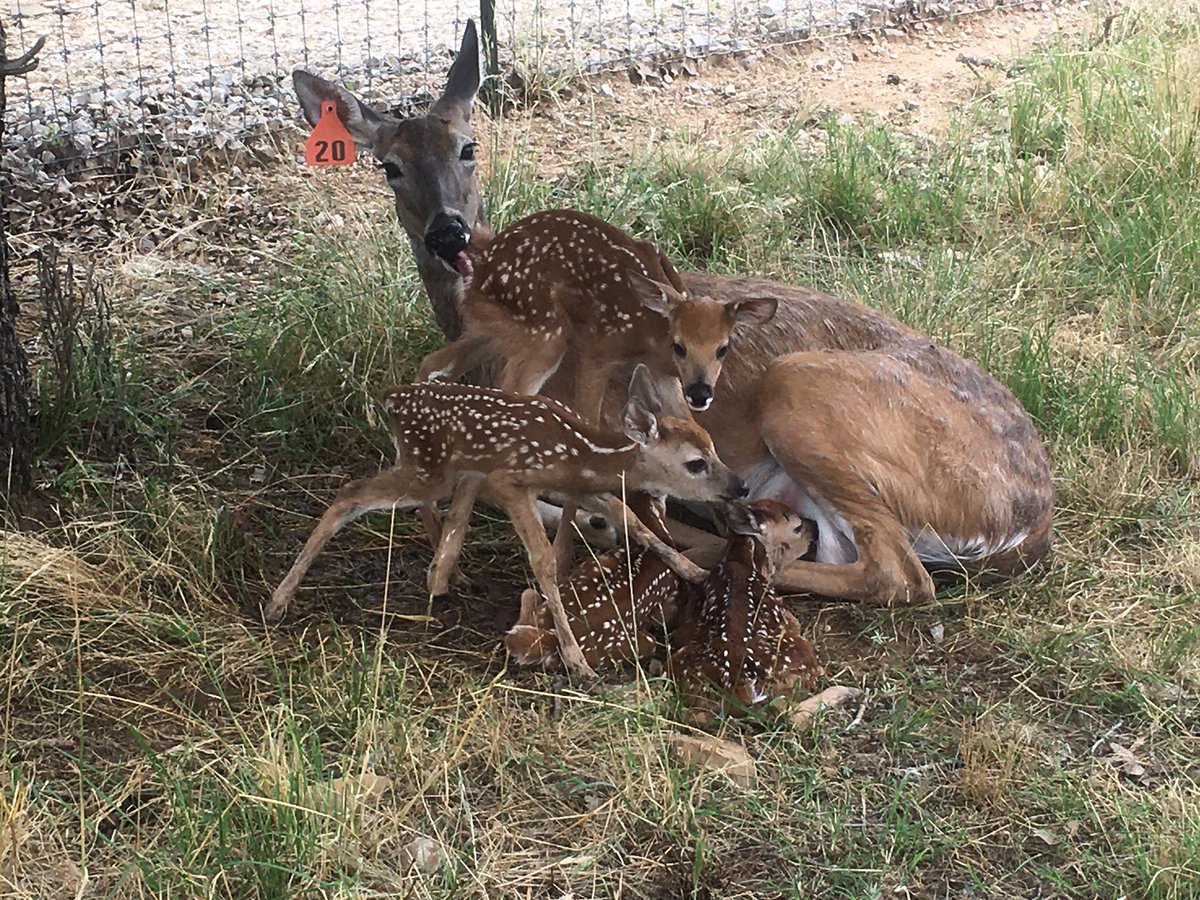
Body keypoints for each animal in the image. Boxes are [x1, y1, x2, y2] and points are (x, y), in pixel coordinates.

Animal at [263, 365, 749, 680]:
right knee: (349, 495)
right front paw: (577, 660)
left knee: (415, 506)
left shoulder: (586, 489)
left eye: (713, 444)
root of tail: (392, 396)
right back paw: (277, 602)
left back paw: (448, 574)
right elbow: (544, 560)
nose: (741, 485)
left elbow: (633, 521)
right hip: (429, 471)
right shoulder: (512, 479)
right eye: (695, 463)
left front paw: (694, 571)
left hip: (432, 467)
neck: (584, 454)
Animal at [292, 20, 1055, 611]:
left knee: (899, 575)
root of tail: (1030, 516)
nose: (448, 232)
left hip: (804, 388)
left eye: (469, 148)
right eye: (389, 165)